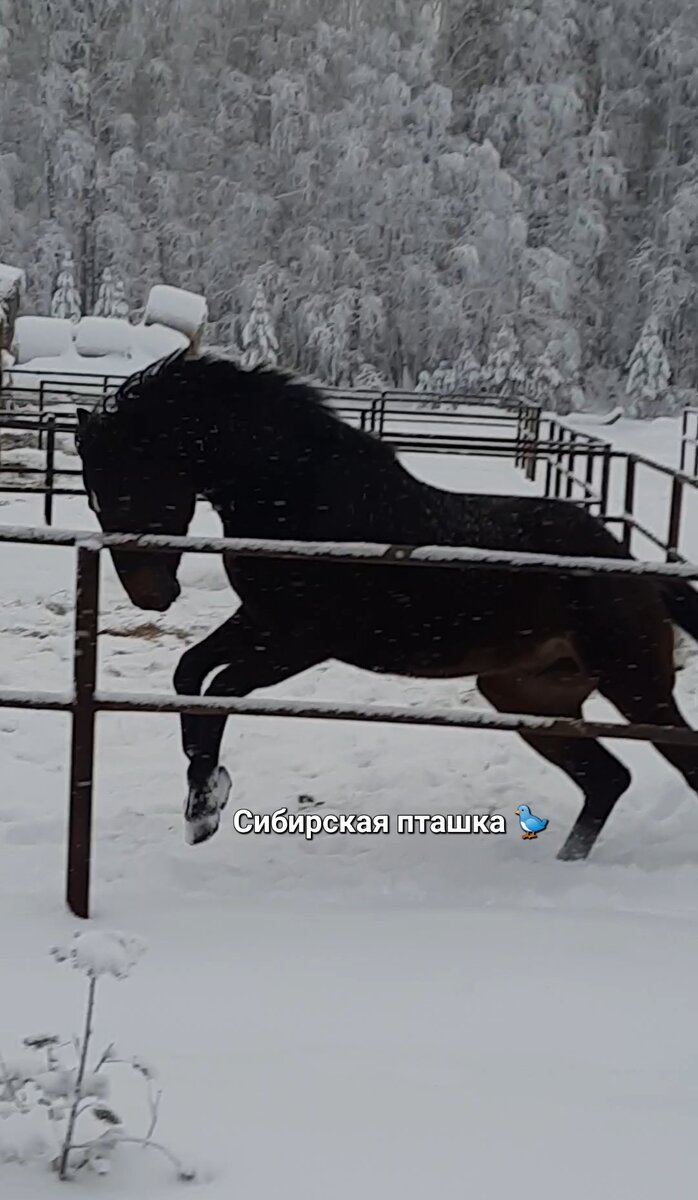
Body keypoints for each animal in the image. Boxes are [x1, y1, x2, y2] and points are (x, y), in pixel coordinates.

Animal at [76, 350, 698, 859]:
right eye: (92, 494)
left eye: (125, 485)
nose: (150, 595)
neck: (302, 496)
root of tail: (636, 569)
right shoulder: (260, 621)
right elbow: (190, 674)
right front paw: (201, 802)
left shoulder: (304, 641)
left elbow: (222, 687)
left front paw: (208, 802)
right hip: (529, 693)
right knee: (607, 779)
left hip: (633, 683)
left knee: (672, 765)